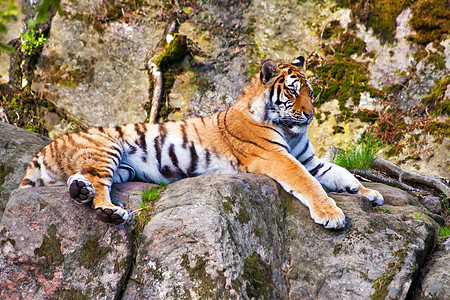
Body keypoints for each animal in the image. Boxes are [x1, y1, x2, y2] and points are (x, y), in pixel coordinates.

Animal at [18, 55, 384, 227]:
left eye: (311, 92)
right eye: (294, 92)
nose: (309, 115)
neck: (291, 131)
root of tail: (49, 145)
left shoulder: (309, 158)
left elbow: (338, 172)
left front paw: (367, 192)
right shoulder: (276, 157)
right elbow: (308, 183)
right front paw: (331, 214)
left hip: (120, 167)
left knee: (80, 181)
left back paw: (81, 192)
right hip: (107, 148)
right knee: (97, 186)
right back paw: (109, 211)